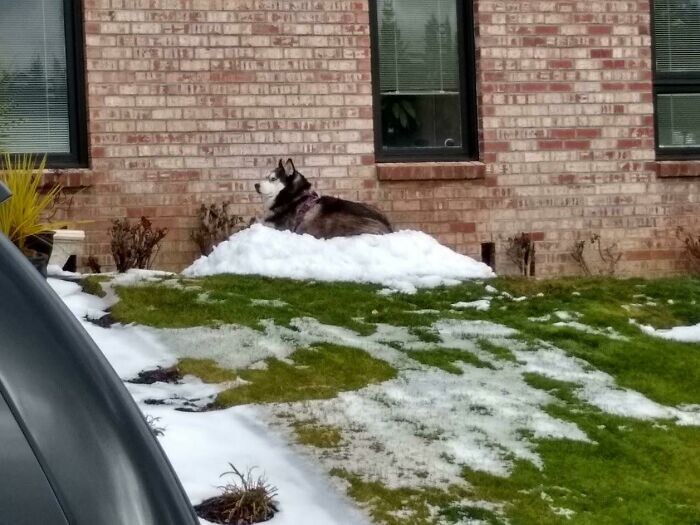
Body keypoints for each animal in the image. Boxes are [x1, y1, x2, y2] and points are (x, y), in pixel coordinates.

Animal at [254, 157, 392, 236]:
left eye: (273, 179)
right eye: (266, 177)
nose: (255, 185)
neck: (294, 198)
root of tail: (388, 227)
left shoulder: (280, 228)